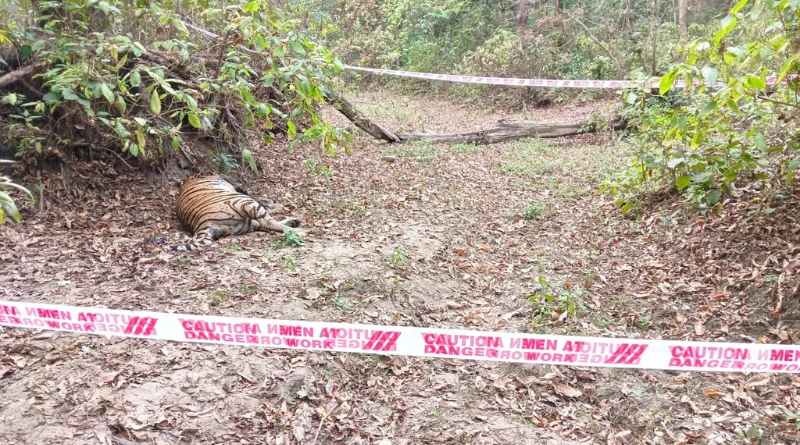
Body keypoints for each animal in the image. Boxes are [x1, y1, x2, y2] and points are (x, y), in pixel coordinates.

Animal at [161, 175, 302, 252]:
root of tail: (202, 225)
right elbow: (264, 202)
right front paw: (277, 204)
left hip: (246, 223)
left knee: (267, 224)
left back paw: (294, 222)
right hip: (243, 202)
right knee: (270, 222)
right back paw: (301, 230)